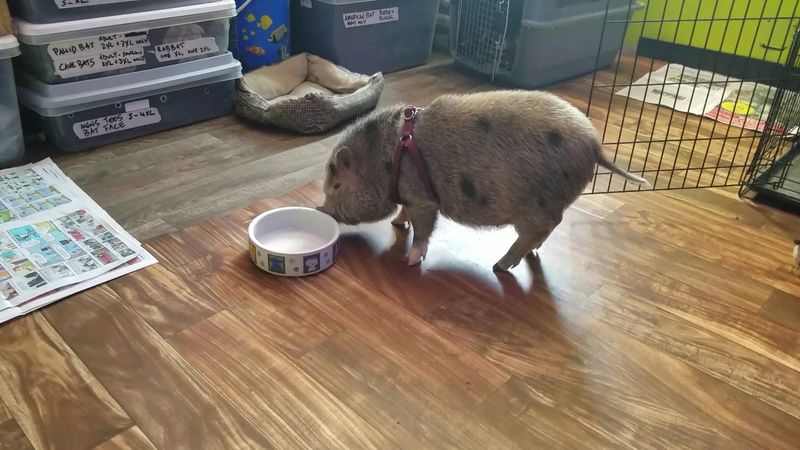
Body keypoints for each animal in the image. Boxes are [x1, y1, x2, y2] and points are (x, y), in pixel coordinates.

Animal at [317, 90, 651, 272]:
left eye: (337, 185)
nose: (321, 210)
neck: (386, 160)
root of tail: (594, 144)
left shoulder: (424, 198)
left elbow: (424, 228)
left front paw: (409, 261)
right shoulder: (409, 196)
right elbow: (404, 213)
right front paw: (397, 224)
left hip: (536, 206)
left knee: (538, 230)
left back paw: (500, 267)